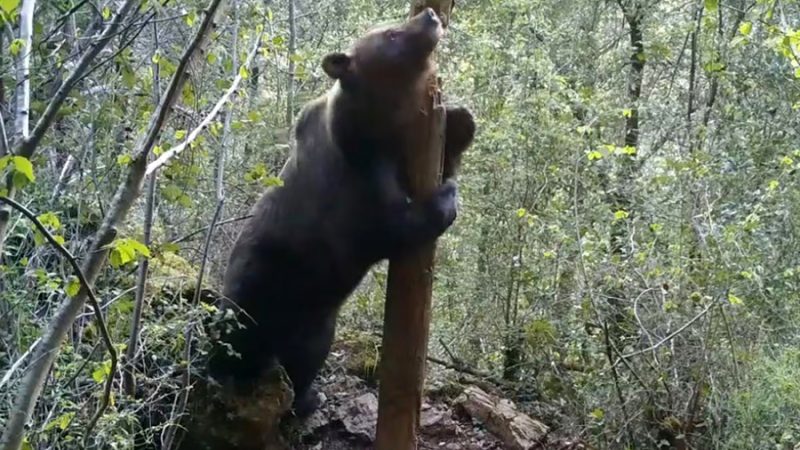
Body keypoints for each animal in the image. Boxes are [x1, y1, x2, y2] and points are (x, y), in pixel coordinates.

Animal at [207, 7, 476, 418]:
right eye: (392, 34)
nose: (430, 15)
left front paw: (462, 122)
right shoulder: (358, 178)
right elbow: (395, 225)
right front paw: (446, 198)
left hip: (317, 317)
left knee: (306, 356)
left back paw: (306, 396)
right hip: (259, 289)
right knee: (242, 341)